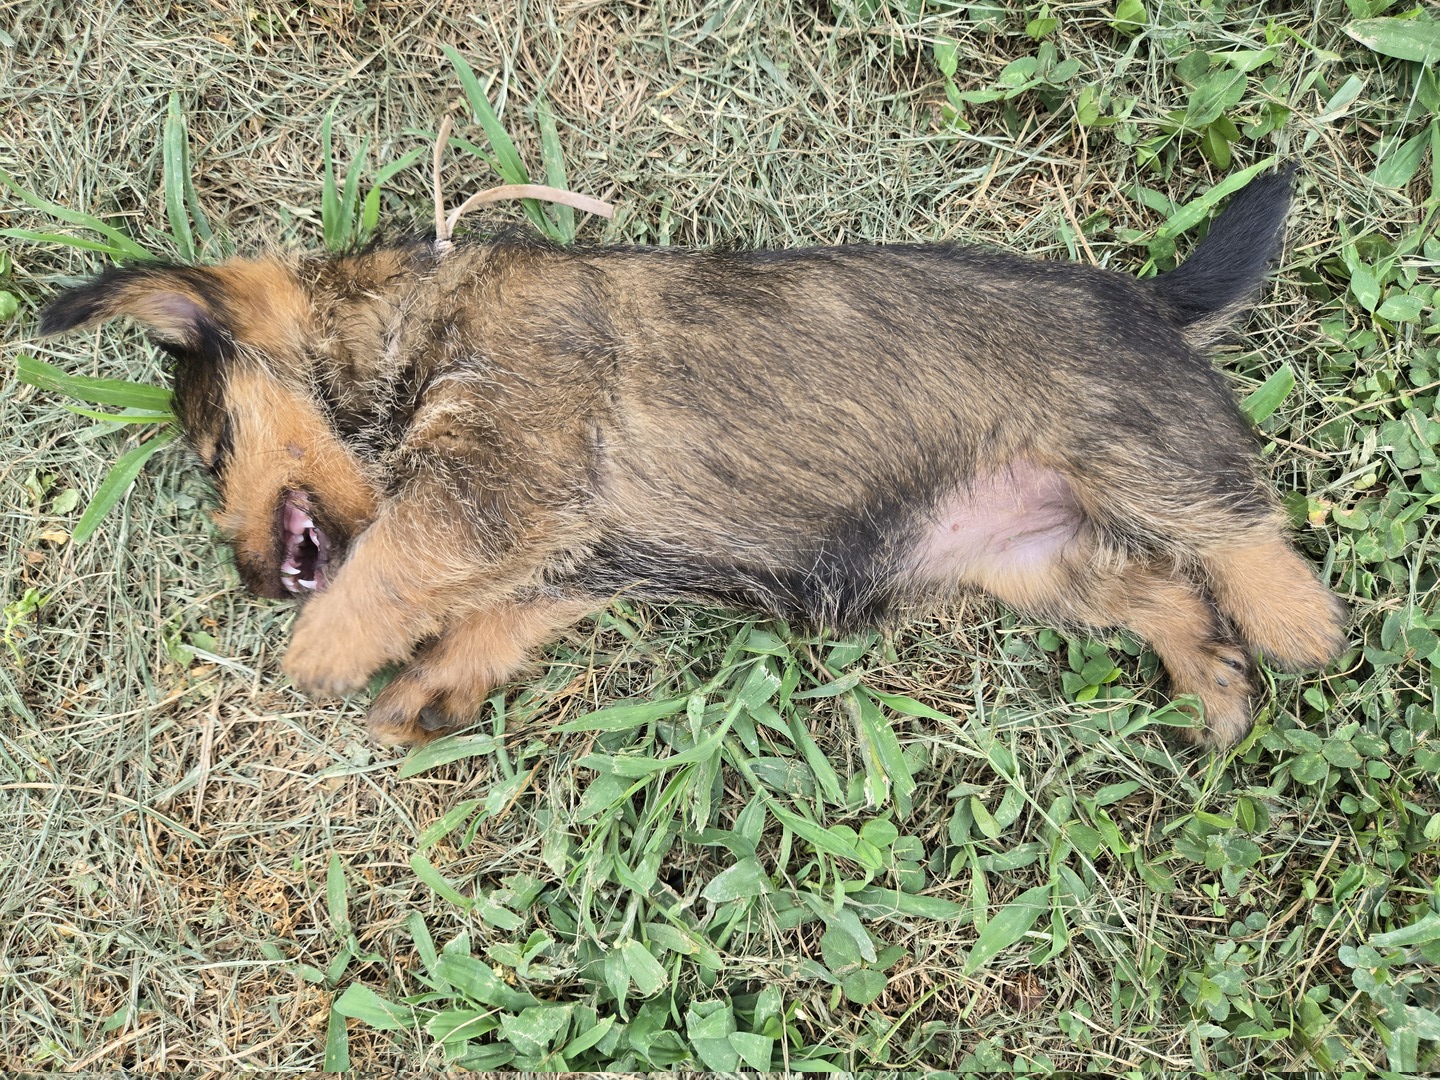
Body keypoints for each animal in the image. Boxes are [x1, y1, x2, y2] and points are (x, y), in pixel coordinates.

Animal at [39, 167, 1347, 749]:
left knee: (1237, 526)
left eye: (213, 448)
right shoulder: (560, 555)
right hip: (1037, 556)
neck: (417, 318)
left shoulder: (495, 487)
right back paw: (1215, 685)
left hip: (1134, 452)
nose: (249, 581)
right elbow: (489, 615)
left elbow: (389, 569)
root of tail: (1155, 303)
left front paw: (313, 657)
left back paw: (1296, 630)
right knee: (1159, 587)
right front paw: (427, 687)